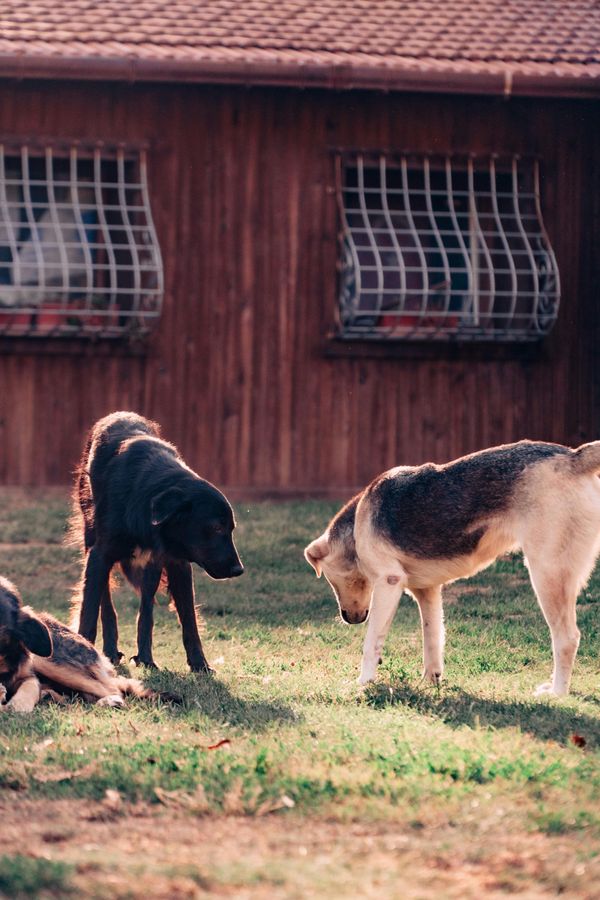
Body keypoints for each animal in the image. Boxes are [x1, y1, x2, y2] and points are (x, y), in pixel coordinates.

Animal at [68, 412, 241, 672]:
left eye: (230, 528)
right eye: (216, 527)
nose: (239, 570)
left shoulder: (177, 563)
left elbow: (188, 619)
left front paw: (199, 665)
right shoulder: (100, 555)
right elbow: (88, 613)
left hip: (151, 567)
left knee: (146, 609)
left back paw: (145, 657)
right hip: (92, 542)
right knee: (105, 601)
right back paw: (110, 650)